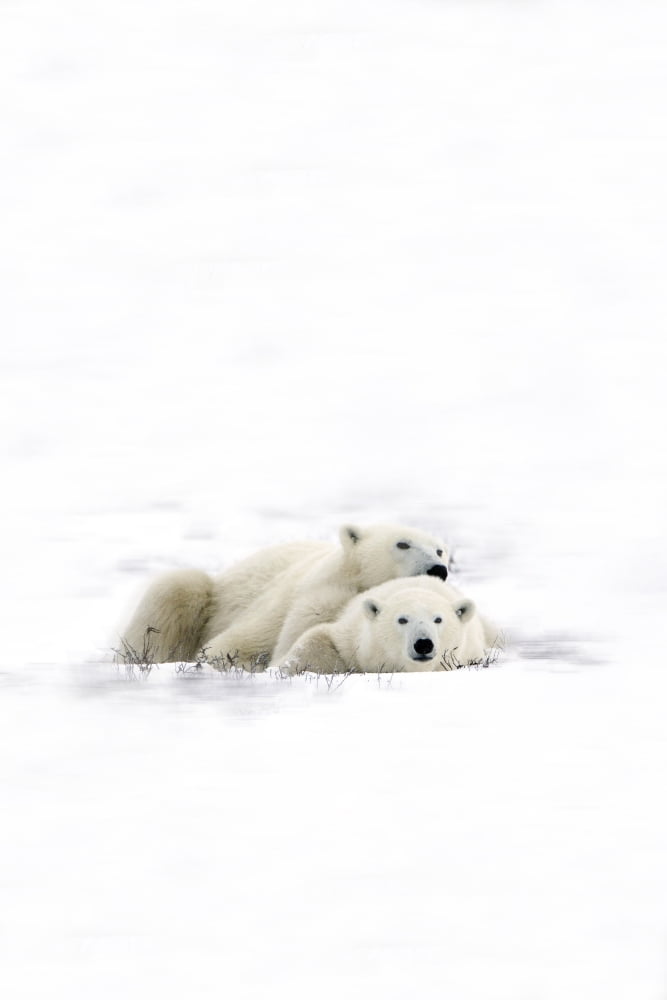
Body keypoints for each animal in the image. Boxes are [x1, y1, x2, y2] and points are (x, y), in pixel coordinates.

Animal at [117, 522, 450, 666]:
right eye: (402, 544)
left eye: (440, 550)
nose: (438, 569)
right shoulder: (311, 599)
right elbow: (235, 646)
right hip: (211, 596)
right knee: (178, 588)